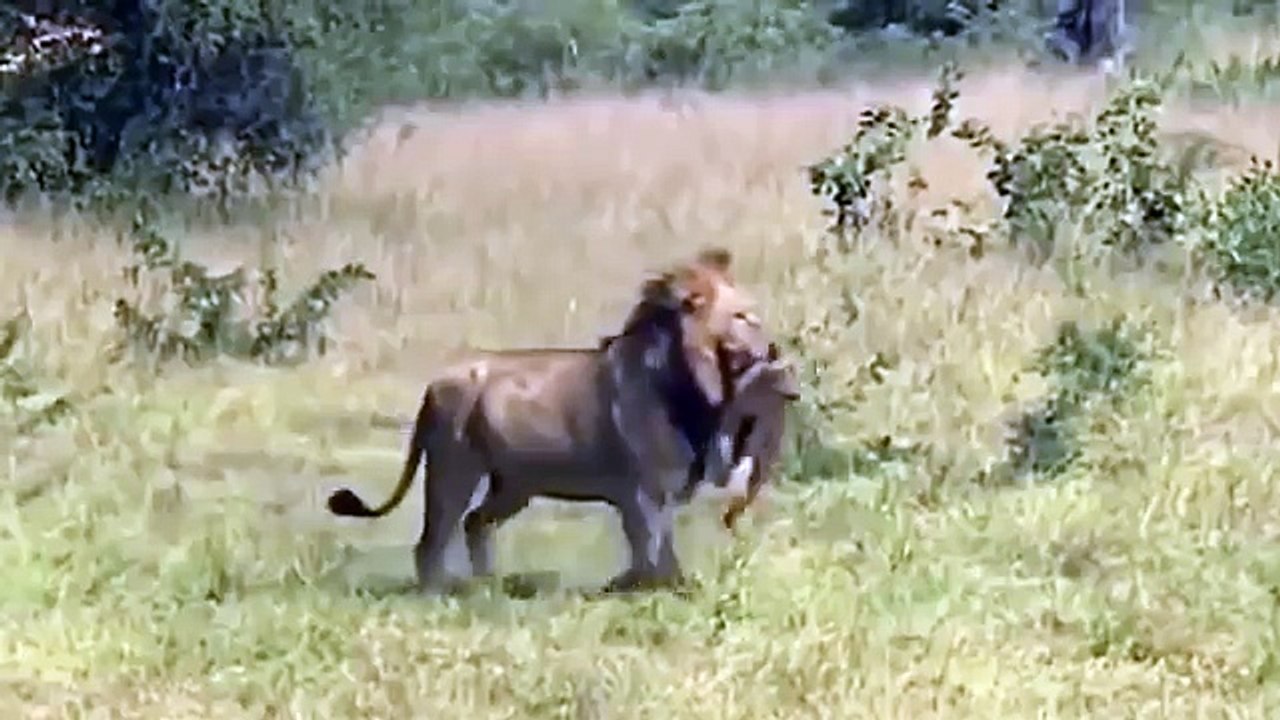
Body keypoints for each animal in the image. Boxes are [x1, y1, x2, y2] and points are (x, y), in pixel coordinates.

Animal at [326, 247, 778, 593]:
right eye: (742, 317)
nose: (772, 347)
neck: (693, 382)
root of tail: (433, 385)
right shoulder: (641, 489)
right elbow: (648, 541)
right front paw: (651, 588)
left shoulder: (661, 489)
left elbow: (659, 543)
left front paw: (652, 584)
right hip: (454, 470)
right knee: (432, 539)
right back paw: (439, 590)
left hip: (515, 484)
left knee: (475, 523)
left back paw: (489, 584)